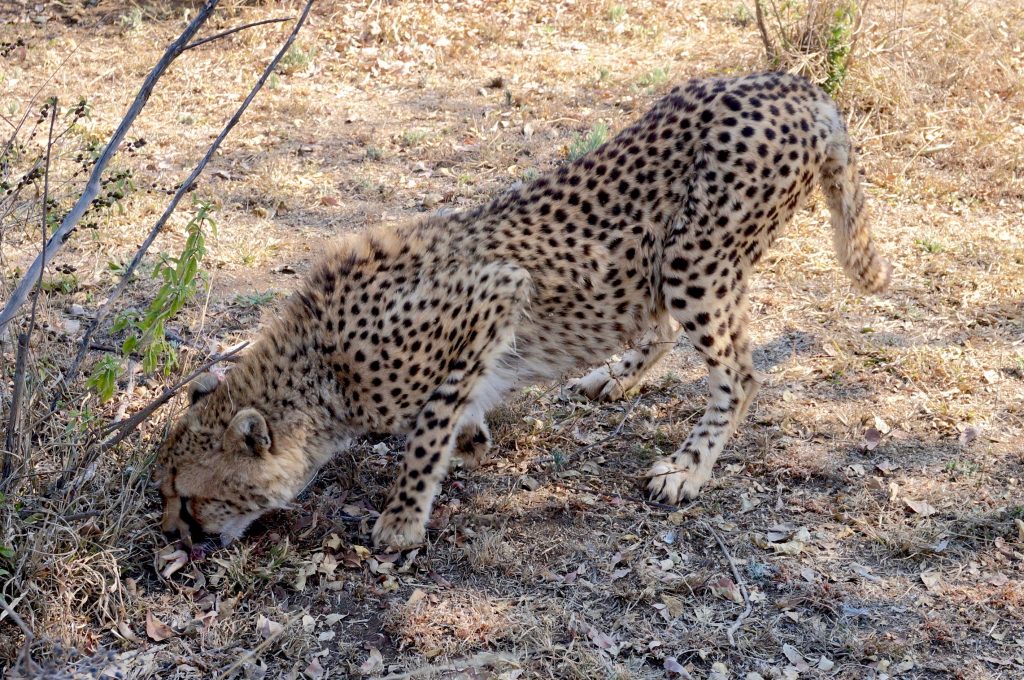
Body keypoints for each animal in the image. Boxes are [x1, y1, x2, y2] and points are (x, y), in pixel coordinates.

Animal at [157, 73, 888, 553]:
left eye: (188, 497)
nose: (172, 537)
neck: (318, 366)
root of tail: (796, 84)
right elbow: (459, 412)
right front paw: (472, 437)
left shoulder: (495, 293)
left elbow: (426, 431)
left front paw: (402, 520)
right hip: (655, 262)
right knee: (654, 323)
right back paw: (616, 377)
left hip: (695, 258)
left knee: (740, 374)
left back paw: (687, 468)